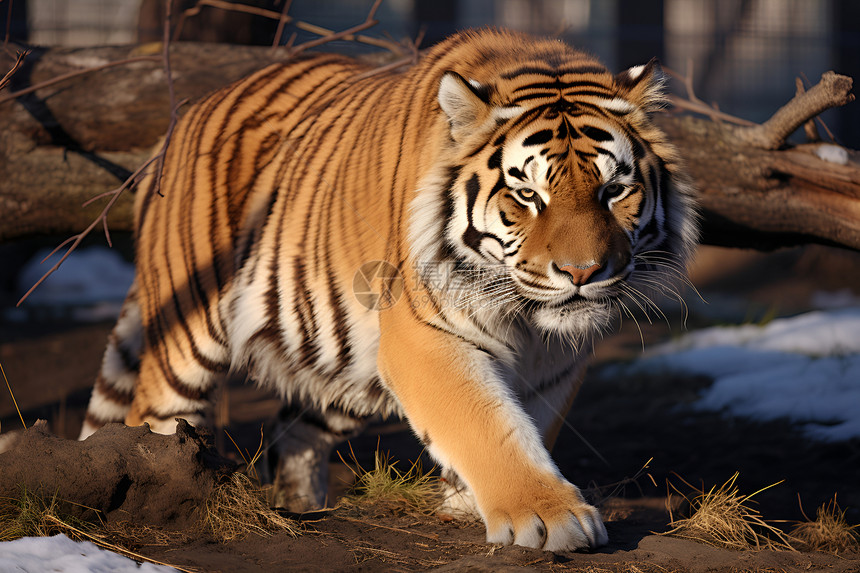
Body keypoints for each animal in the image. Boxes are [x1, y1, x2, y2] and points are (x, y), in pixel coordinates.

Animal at [79, 29, 700, 552]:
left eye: (614, 190)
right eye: (527, 195)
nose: (582, 272)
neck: (529, 320)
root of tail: (186, 115)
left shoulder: (556, 364)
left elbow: (527, 424)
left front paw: (466, 502)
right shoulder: (424, 335)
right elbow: (487, 424)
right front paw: (551, 517)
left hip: (343, 362)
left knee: (292, 433)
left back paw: (300, 506)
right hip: (186, 341)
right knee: (152, 417)